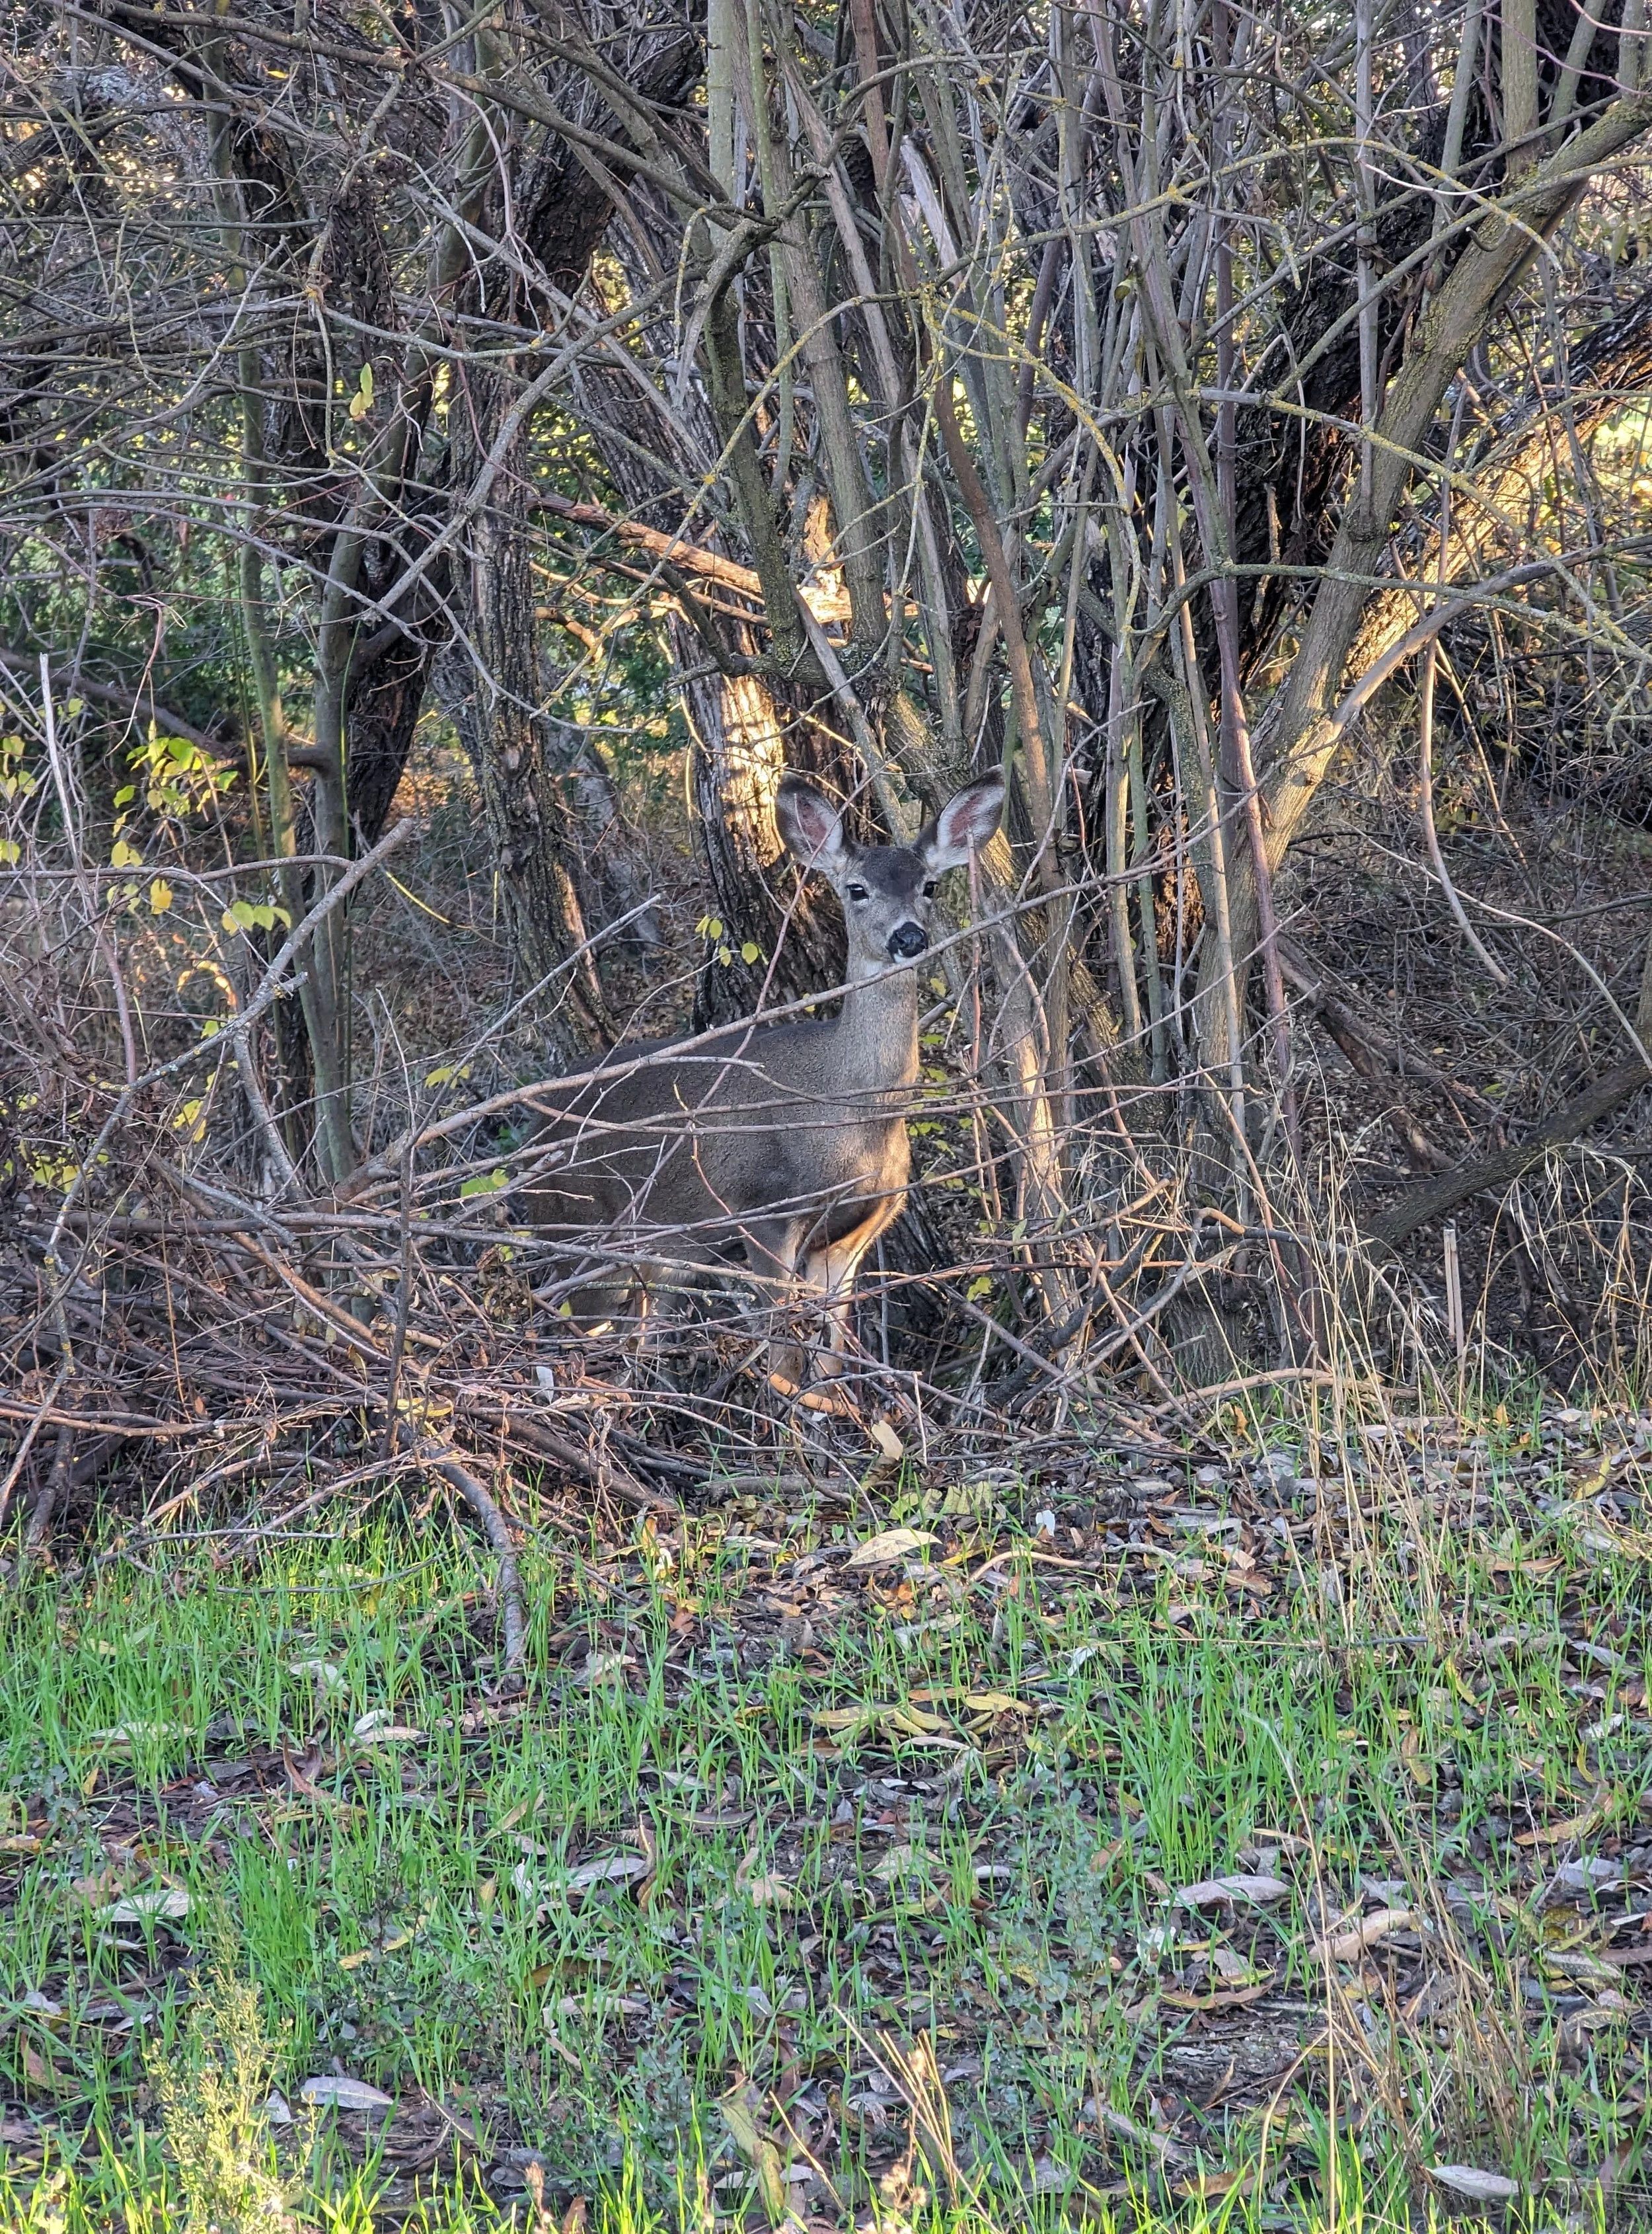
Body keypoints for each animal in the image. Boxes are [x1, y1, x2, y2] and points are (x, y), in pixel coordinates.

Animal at [518, 768, 1005, 1405]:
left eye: (929, 885)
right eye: (856, 889)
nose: (908, 937)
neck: (853, 1115)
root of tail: (532, 1131)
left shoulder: (863, 1221)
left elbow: (831, 1345)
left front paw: (839, 1408)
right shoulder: (762, 1209)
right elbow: (783, 1353)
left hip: (655, 1257)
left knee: (634, 1333)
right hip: (575, 1229)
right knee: (561, 1330)